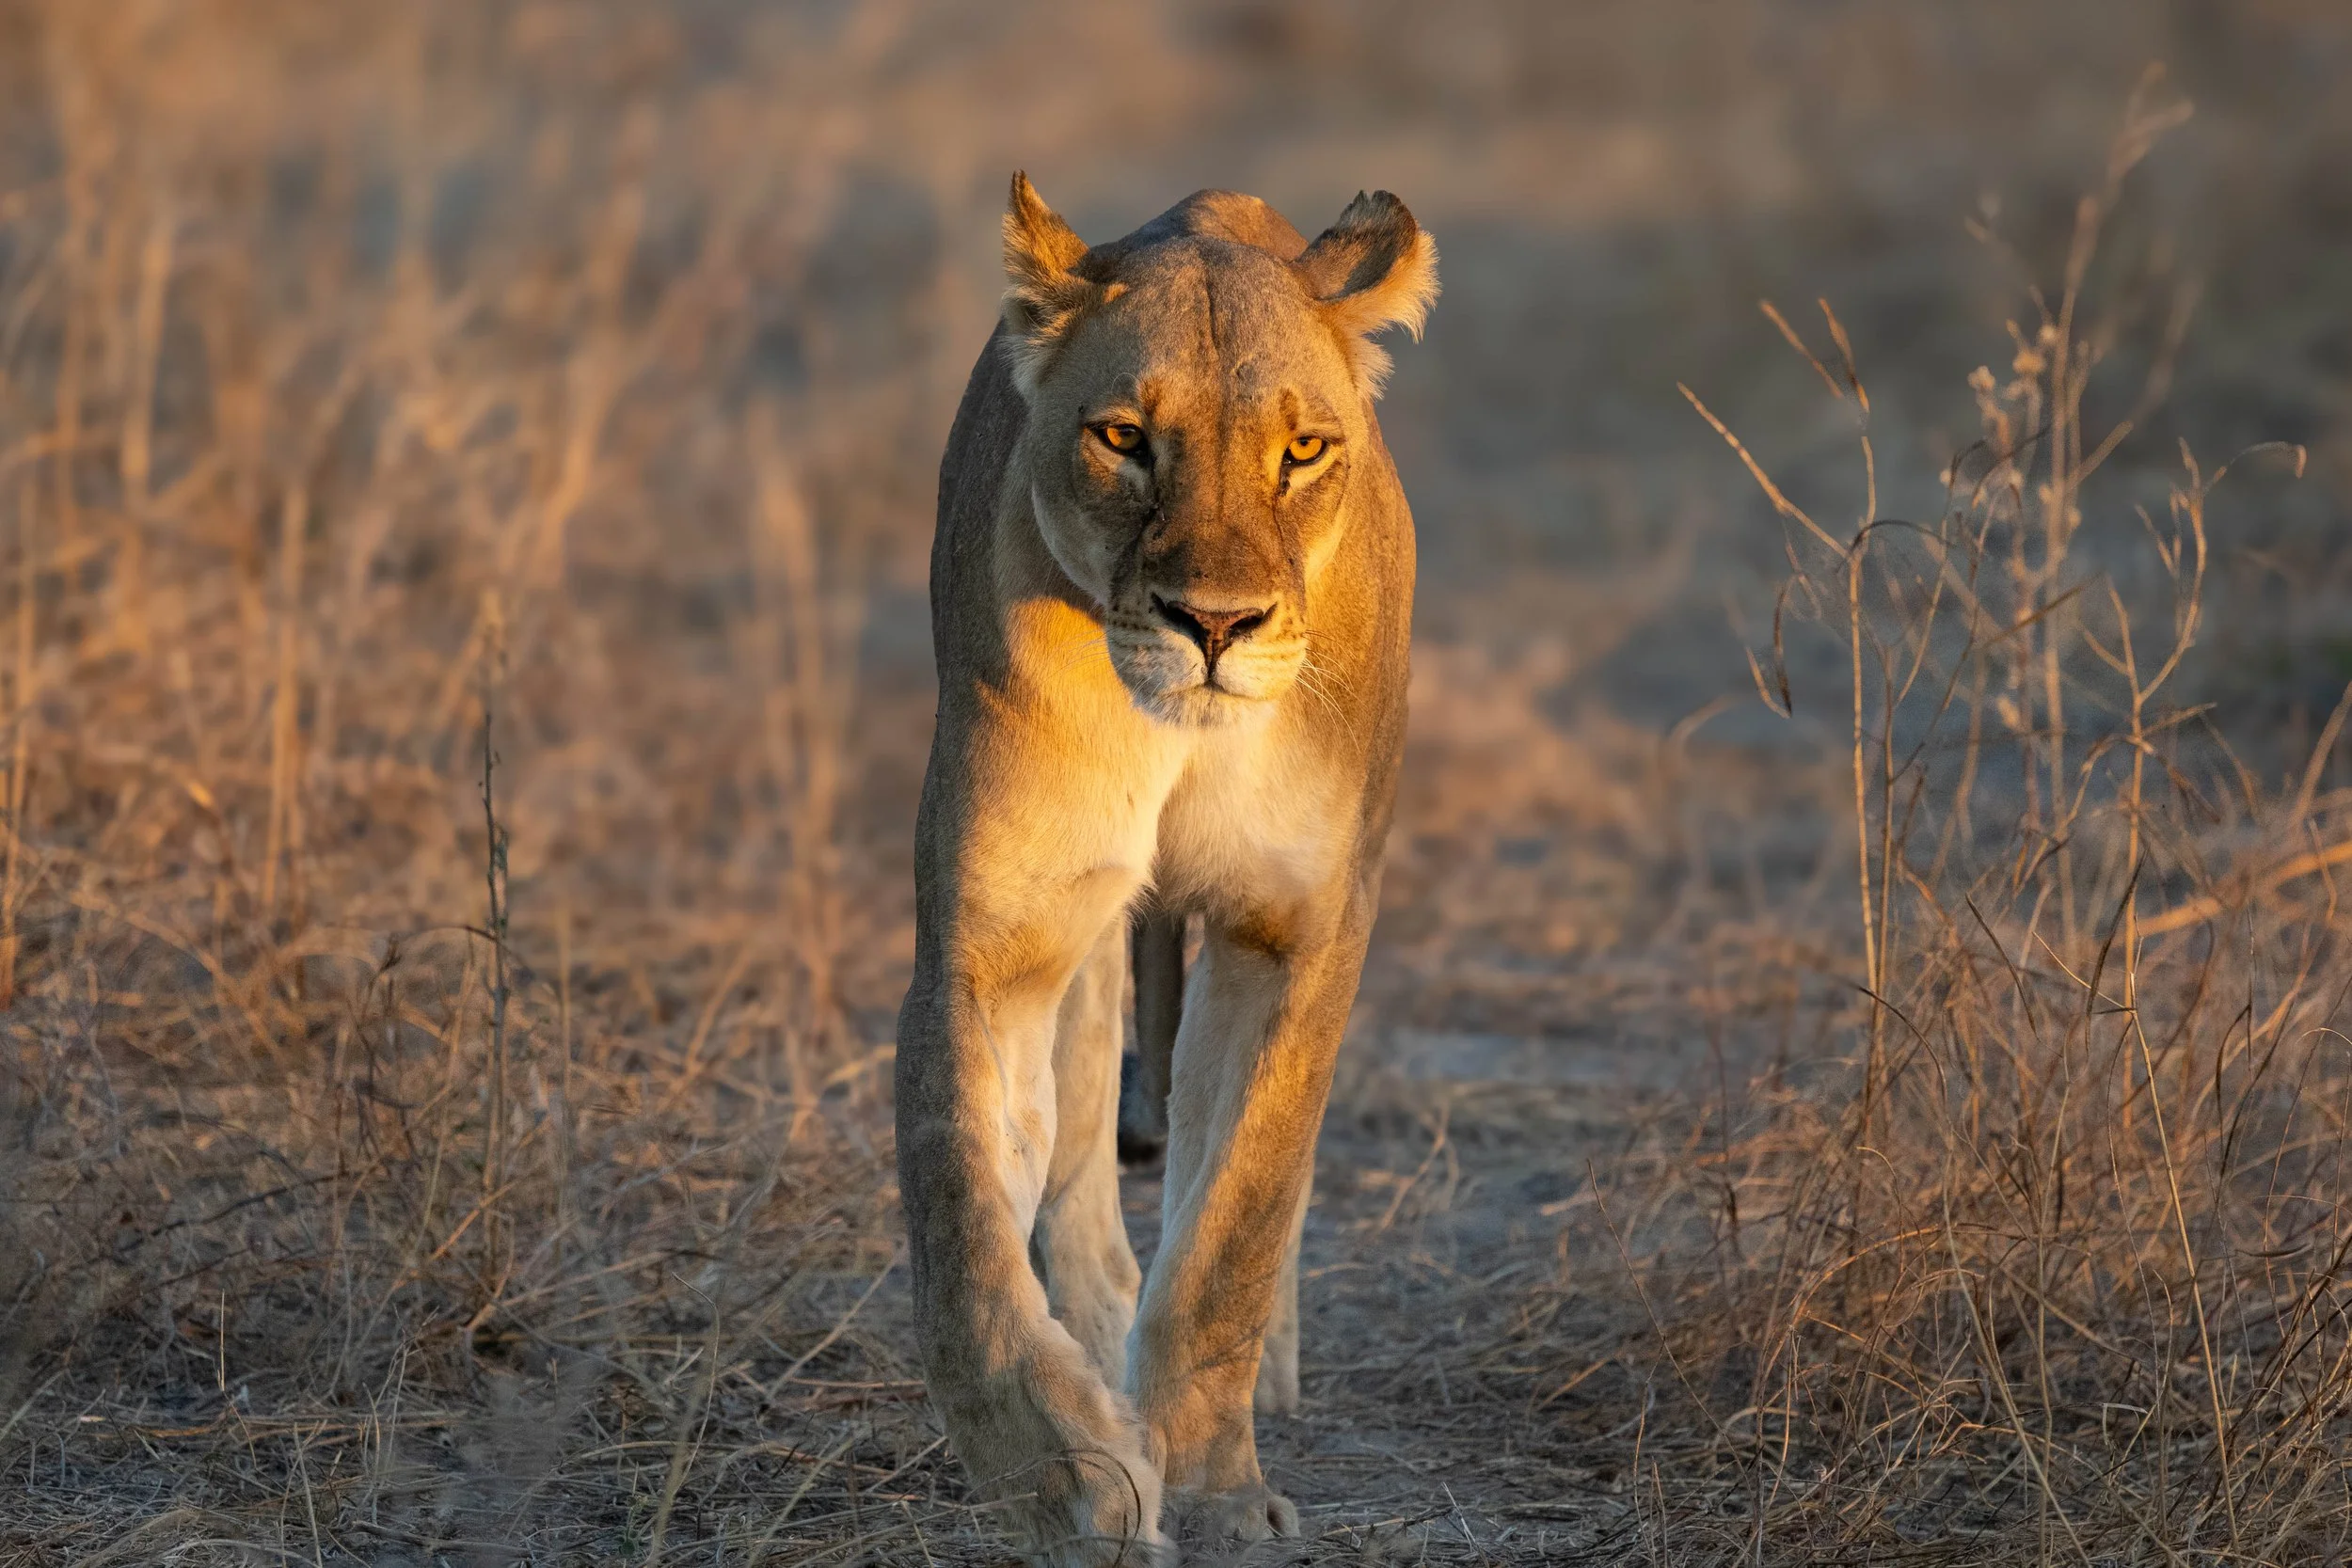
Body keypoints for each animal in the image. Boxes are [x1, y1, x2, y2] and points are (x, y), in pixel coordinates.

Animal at [894, 173, 1436, 1565]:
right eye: (1125, 437)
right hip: (1088, 944)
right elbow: (962, 1216)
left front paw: (1214, 1488)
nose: (1216, 625)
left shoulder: (1297, 924)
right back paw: (1101, 1353)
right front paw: (1072, 1477)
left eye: (1302, 450)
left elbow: (1238, 1210)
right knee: (1079, 1151)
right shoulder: (992, 934)